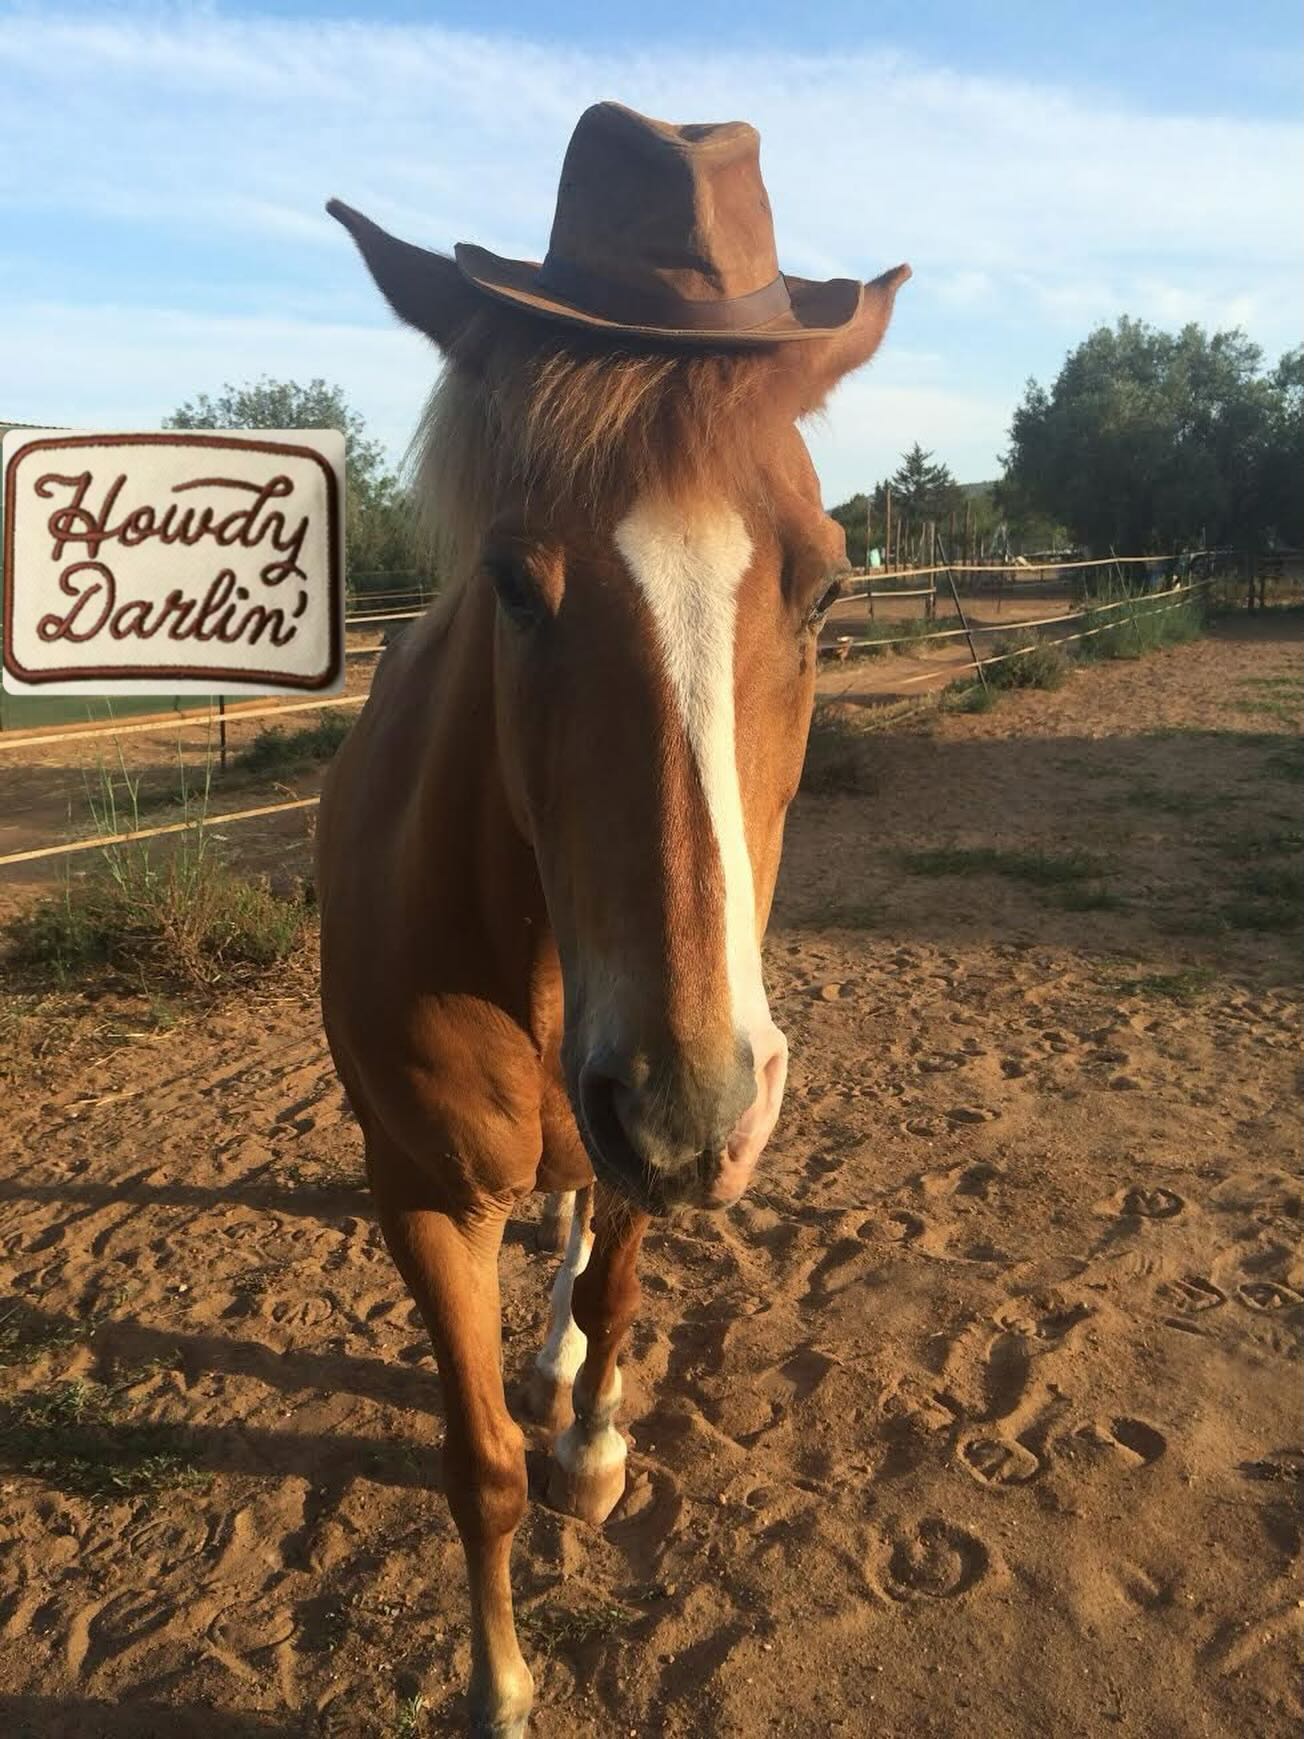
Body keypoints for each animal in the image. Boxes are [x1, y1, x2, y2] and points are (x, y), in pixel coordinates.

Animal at [317, 202, 907, 1734]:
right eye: (514, 585)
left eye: (827, 584)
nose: (689, 1107)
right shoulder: (419, 1191)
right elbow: (477, 1465)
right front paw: (499, 1685)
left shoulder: (649, 1126)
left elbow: (617, 1284)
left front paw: (592, 1443)